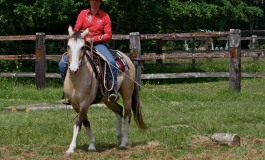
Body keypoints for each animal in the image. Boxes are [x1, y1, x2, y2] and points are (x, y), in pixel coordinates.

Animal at [64, 26, 146, 154]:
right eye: (68, 46)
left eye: (83, 47)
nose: (73, 69)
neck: (76, 80)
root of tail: (127, 58)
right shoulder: (75, 104)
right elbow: (85, 122)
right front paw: (92, 145)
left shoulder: (85, 103)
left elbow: (78, 123)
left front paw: (71, 148)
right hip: (108, 100)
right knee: (119, 110)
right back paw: (119, 137)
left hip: (127, 94)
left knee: (127, 114)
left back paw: (123, 142)